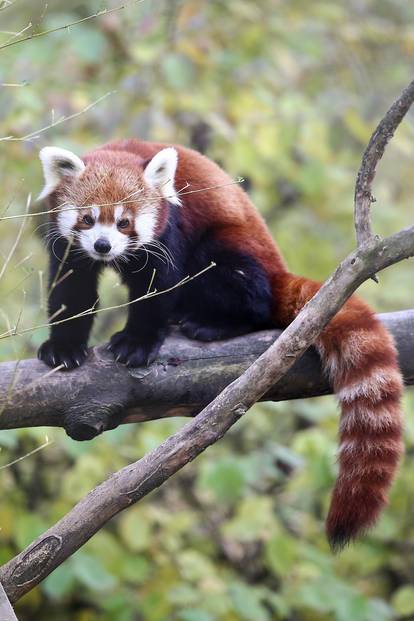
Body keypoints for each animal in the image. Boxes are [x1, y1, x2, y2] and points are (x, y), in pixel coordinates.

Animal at [37, 137, 402, 548]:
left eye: (124, 222)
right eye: (87, 218)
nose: (103, 245)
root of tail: (277, 271)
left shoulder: (170, 231)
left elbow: (157, 287)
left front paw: (136, 342)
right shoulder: (67, 245)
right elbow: (72, 290)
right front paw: (64, 347)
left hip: (230, 250)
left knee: (245, 290)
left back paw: (210, 324)